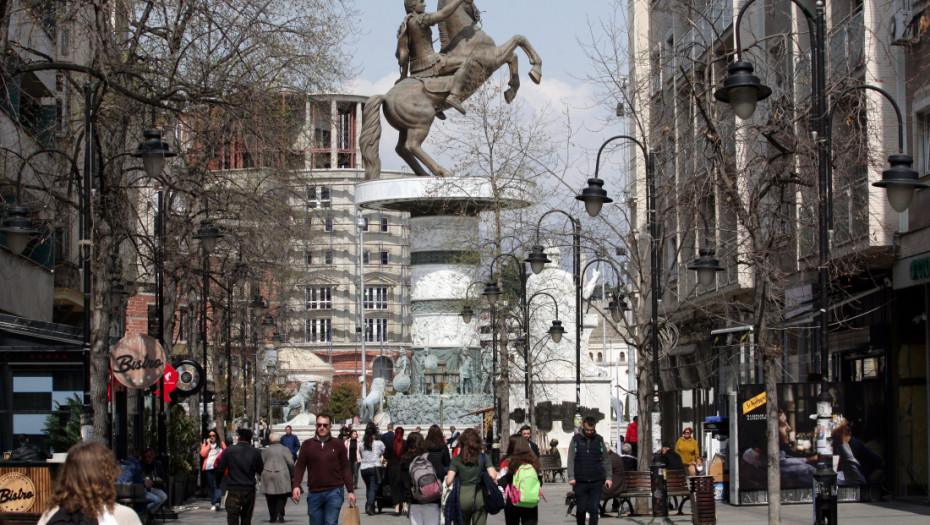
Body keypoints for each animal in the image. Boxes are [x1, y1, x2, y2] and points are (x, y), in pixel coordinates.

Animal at [358, 0, 540, 179]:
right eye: (470, 2)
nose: (478, 14)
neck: (465, 40)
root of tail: (385, 97)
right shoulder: (493, 58)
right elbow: (518, 40)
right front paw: (535, 72)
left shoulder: (496, 57)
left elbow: (514, 54)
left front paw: (511, 91)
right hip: (423, 120)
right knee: (412, 145)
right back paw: (443, 171)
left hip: (406, 126)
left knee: (401, 149)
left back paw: (424, 174)